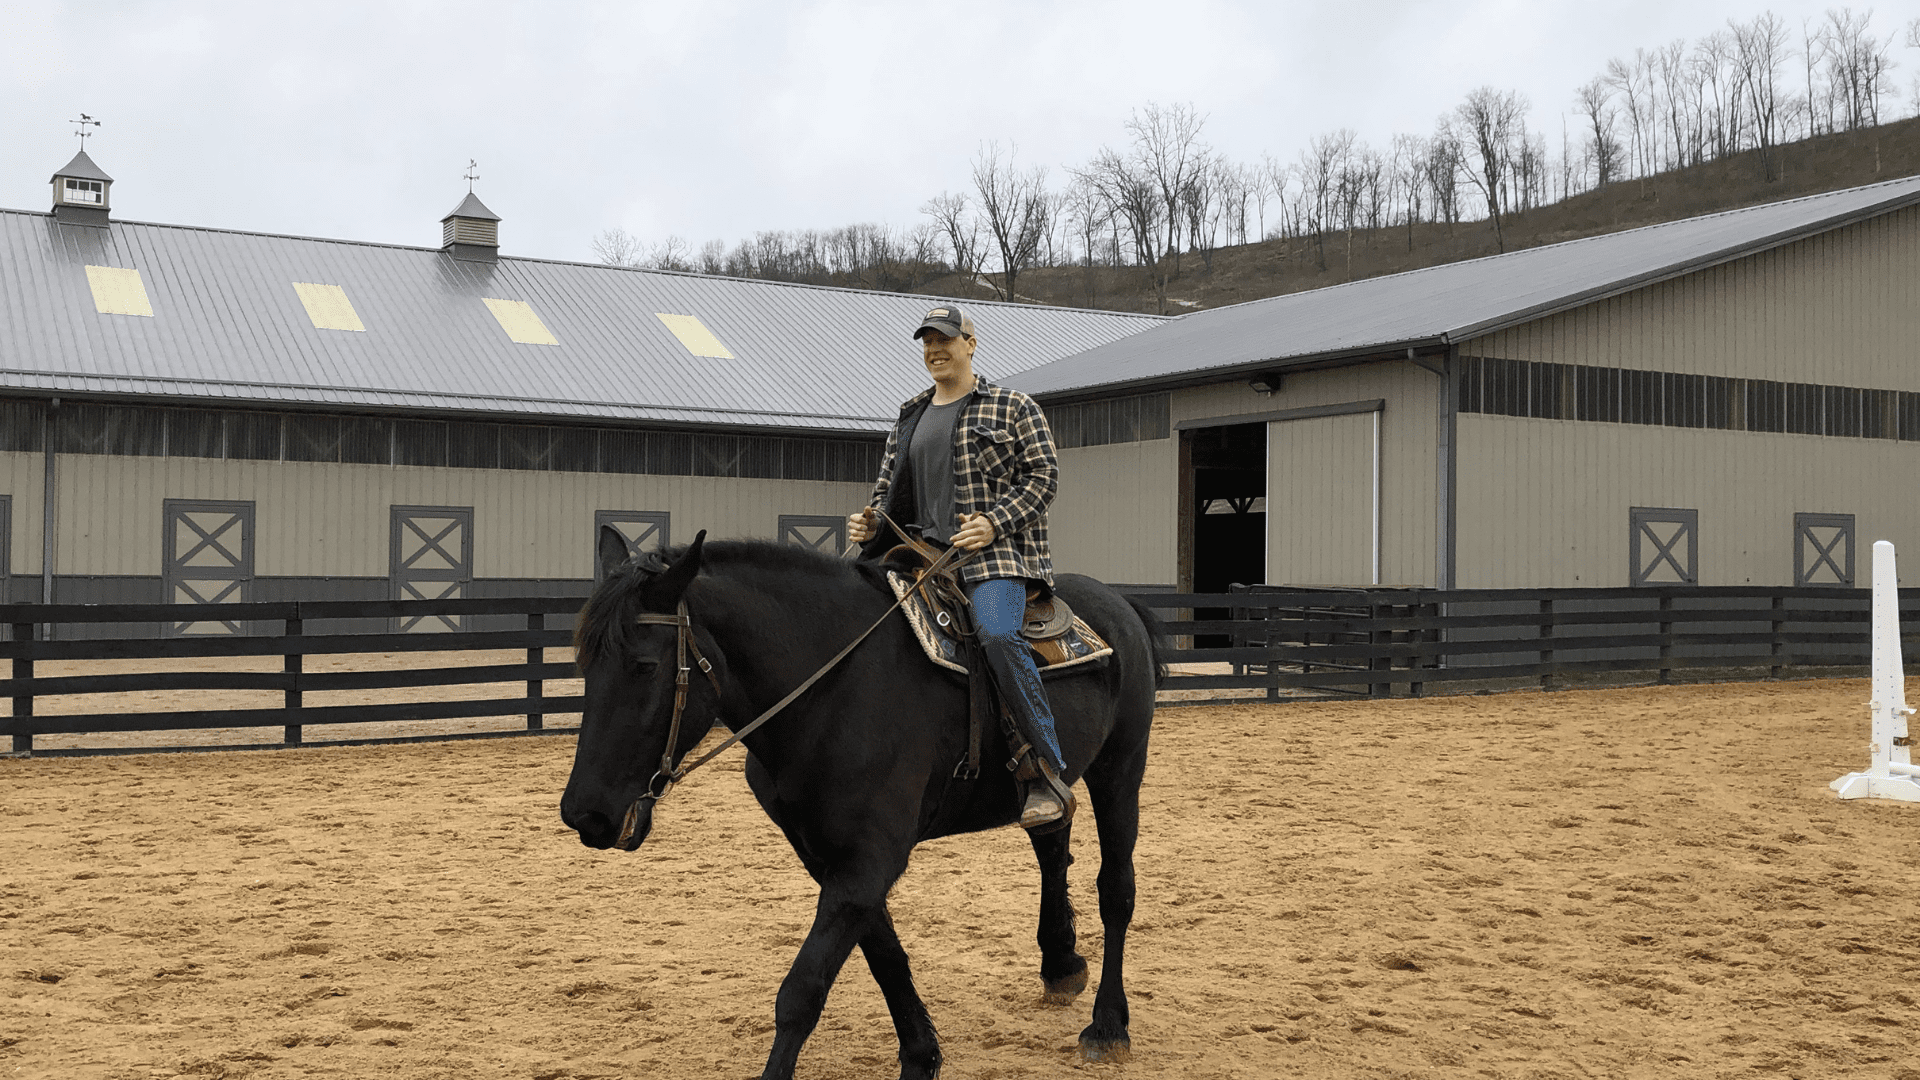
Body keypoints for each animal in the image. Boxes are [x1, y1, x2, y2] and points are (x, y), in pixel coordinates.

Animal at [556, 526, 1152, 1068]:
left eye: (645, 665)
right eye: (585, 663)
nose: (585, 813)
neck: (832, 690)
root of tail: (1117, 604)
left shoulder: (868, 862)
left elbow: (801, 992)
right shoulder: (830, 859)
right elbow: (883, 954)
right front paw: (920, 1055)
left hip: (1120, 770)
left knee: (1116, 890)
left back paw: (1108, 1026)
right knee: (1053, 852)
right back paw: (1061, 964)